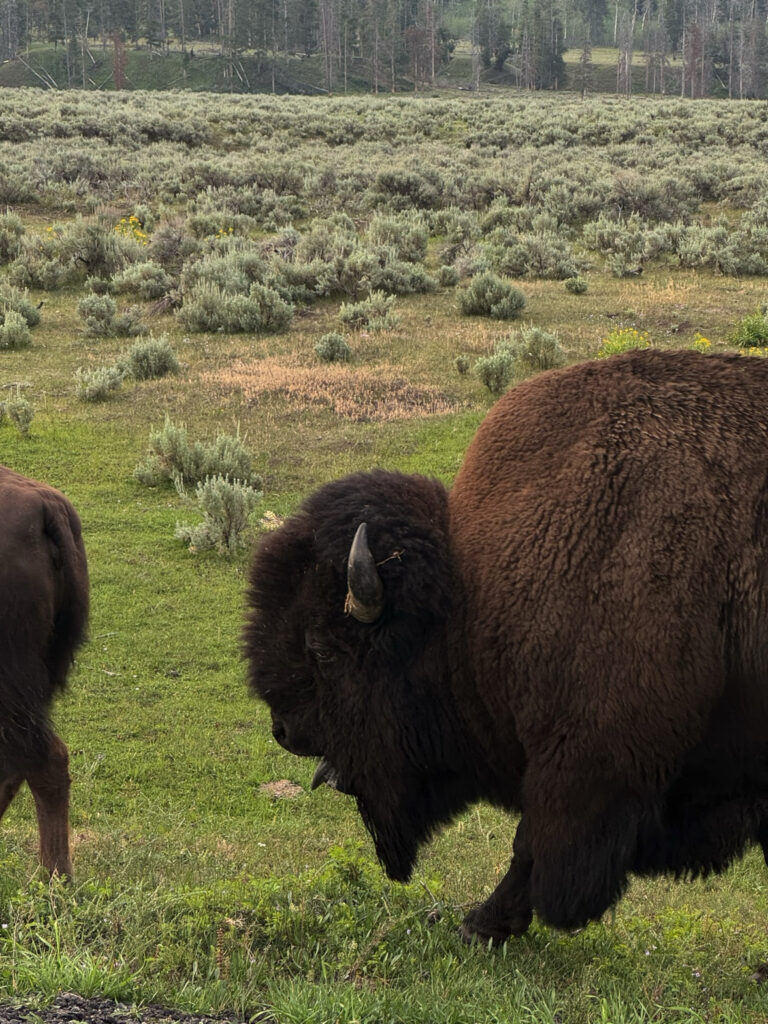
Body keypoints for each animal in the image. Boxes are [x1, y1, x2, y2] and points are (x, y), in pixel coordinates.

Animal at [245, 349, 768, 942]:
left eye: (324, 649)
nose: (285, 730)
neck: (470, 598)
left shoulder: (585, 761)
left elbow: (531, 844)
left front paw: (481, 923)